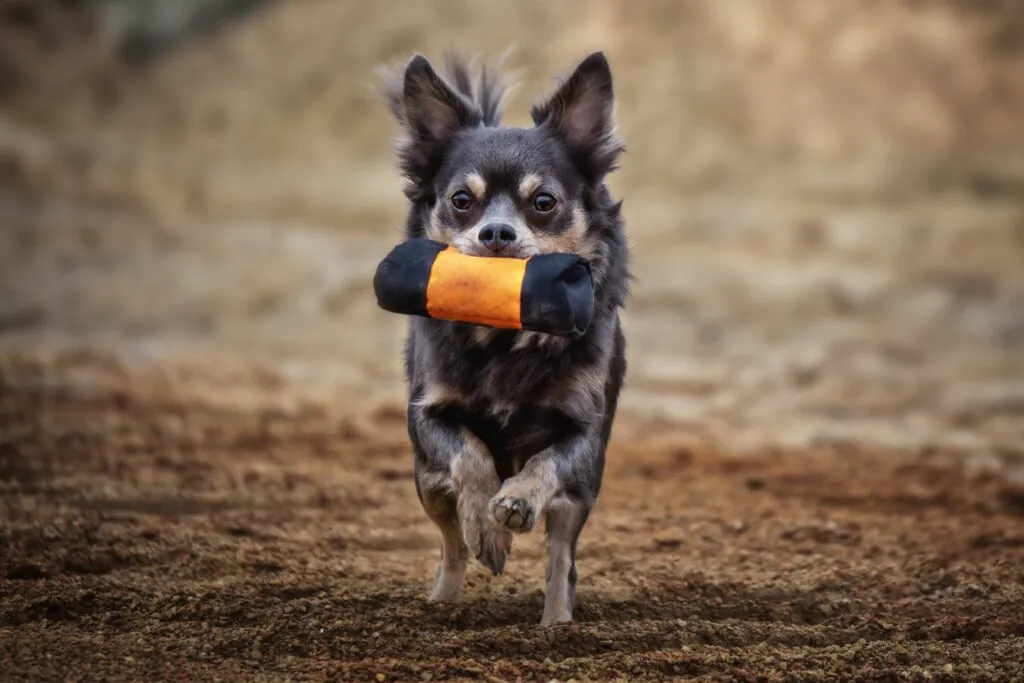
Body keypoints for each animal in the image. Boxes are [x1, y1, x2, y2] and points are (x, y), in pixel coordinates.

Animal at [380, 49, 626, 626]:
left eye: (544, 202)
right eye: (461, 200)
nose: (496, 233)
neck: (503, 339)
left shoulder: (584, 436)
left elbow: (545, 463)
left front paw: (515, 502)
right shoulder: (427, 416)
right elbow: (471, 456)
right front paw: (490, 530)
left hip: (579, 498)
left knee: (561, 561)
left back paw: (556, 625)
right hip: (425, 481)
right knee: (451, 545)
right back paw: (443, 600)